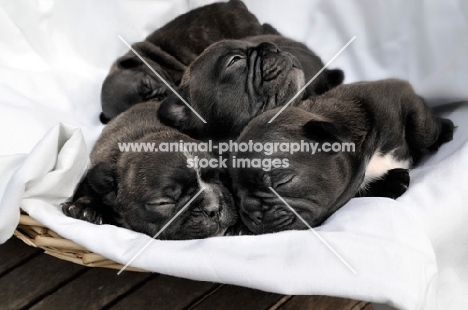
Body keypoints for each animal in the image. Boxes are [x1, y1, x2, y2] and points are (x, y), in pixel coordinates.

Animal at [229, 78, 454, 234]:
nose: (252, 214)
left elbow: (421, 127)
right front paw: (392, 182)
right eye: (238, 197)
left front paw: (444, 129)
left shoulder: (400, 93)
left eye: (282, 182)